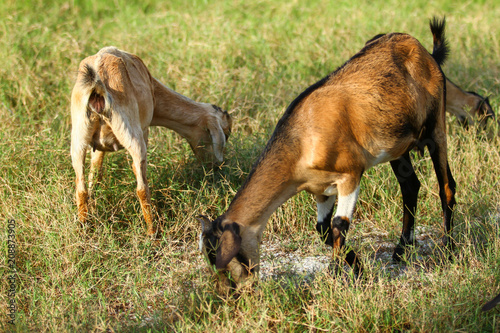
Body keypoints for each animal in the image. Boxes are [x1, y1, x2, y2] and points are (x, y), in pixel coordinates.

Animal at [70, 46, 232, 235]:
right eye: (226, 134)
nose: (217, 167)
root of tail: (97, 86)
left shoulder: (98, 145)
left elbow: (95, 173)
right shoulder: (145, 130)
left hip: (78, 139)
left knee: (80, 188)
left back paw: (83, 227)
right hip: (133, 135)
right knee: (141, 188)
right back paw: (152, 231)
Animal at [198, 16, 454, 284]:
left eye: (227, 261)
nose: (236, 292)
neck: (302, 140)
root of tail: (425, 52)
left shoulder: (351, 174)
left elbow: (339, 224)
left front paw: (343, 275)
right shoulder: (321, 189)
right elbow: (323, 229)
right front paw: (355, 270)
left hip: (436, 126)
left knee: (446, 186)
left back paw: (448, 252)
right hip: (397, 146)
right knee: (410, 186)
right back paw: (400, 251)